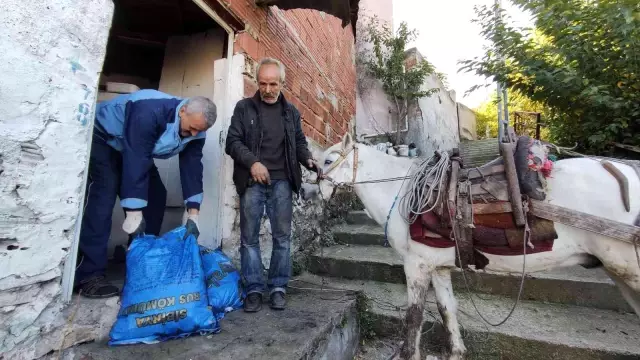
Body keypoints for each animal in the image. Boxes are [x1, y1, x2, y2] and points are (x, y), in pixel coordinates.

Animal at [312, 134, 640, 360]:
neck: (402, 191)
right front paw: (456, 352)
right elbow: (447, 309)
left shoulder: (416, 265)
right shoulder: (438, 266)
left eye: (328, 161)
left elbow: (414, 316)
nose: (310, 192)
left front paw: (409, 354)